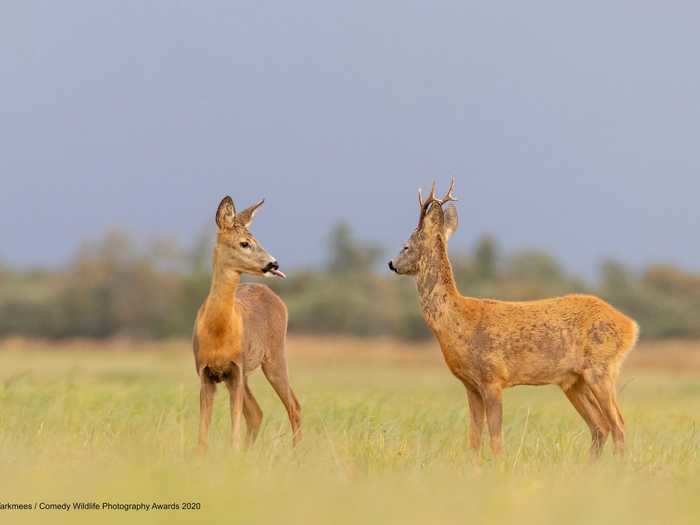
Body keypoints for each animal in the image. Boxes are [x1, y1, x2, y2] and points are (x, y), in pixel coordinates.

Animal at [194, 195, 300, 450]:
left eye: (257, 240)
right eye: (244, 243)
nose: (274, 264)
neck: (219, 332)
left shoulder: (236, 368)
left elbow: (234, 428)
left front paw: (233, 453)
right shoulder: (205, 372)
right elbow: (203, 432)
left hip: (274, 355)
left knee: (294, 407)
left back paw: (297, 454)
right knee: (257, 413)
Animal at [388, 178, 640, 456]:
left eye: (406, 246)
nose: (391, 263)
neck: (456, 320)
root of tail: (631, 326)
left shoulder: (493, 377)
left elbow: (495, 436)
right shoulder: (470, 385)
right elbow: (474, 437)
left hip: (602, 369)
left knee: (618, 424)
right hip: (574, 381)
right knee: (600, 427)